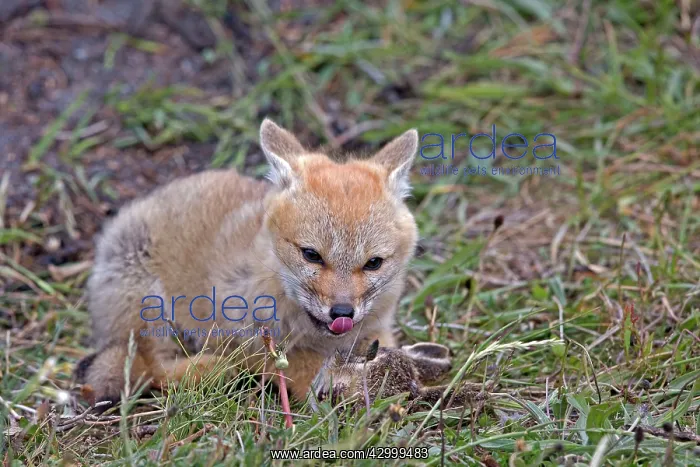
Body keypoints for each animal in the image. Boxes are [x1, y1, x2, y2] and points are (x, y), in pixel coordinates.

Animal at [74, 118, 420, 409]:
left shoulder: (377, 330)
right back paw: (214, 369)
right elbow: (303, 369)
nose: (343, 313)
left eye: (373, 263)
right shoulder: (250, 343)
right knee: (153, 369)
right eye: (312, 255)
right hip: (150, 307)